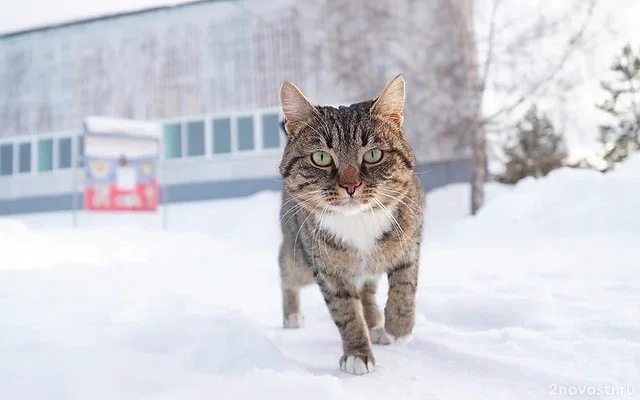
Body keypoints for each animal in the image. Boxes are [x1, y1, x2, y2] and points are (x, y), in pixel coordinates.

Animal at [276, 74, 422, 376]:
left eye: (373, 155)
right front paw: (357, 353)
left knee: (367, 290)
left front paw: (399, 327)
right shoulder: (328, 270)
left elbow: (405, 282)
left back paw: (377, 325)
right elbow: (346, 313)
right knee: (286, 272)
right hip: (298, 256)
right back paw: (292, 314)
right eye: (321, 158)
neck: (358, 221)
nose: (350, 185)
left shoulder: (411, 234)